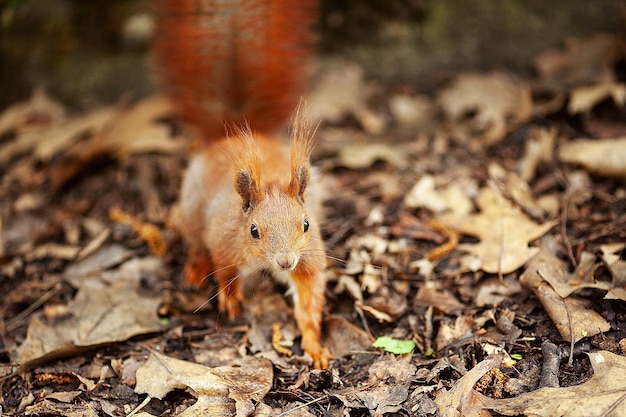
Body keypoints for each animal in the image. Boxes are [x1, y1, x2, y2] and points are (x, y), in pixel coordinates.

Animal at [154, 0, 330, 366]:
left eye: (306, 224)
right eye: (253, 231)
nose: (285, 262)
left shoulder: (309, 259)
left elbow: (309, 300)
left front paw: (314, 346)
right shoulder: (224, 240)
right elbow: (224, 271)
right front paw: (231, 297)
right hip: (192, 209)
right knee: (194, 241)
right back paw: (195, 268)